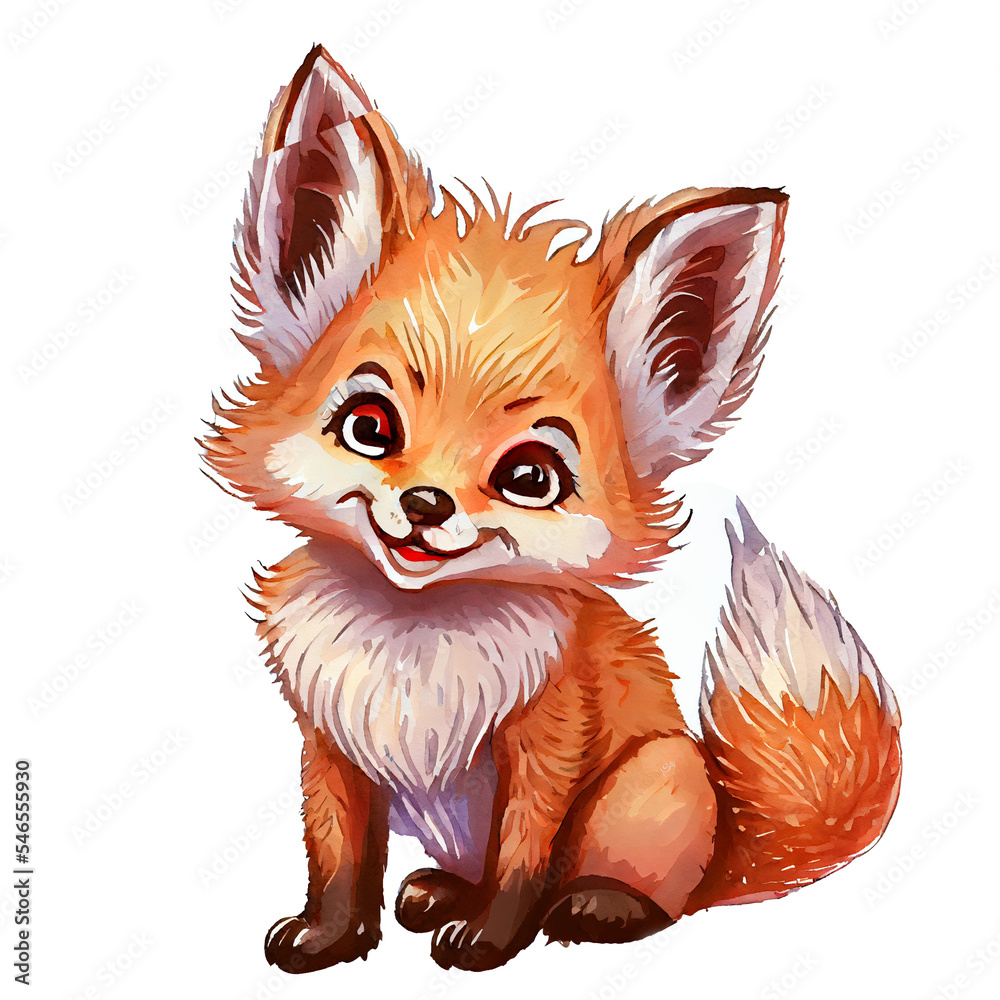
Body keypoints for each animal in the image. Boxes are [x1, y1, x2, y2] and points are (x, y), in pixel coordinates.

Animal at [202, 45, 902, 973]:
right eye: (370, 427)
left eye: (530, 477)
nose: (424, 502)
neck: (412, 641)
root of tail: (729, 846)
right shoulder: (332, 742)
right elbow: (339, 852)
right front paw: (330, 937)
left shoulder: (546, 742)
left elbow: (522, 857)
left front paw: (491, 941)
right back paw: (436, 892)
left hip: (653, 783)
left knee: (649, 894)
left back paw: (596, 904)